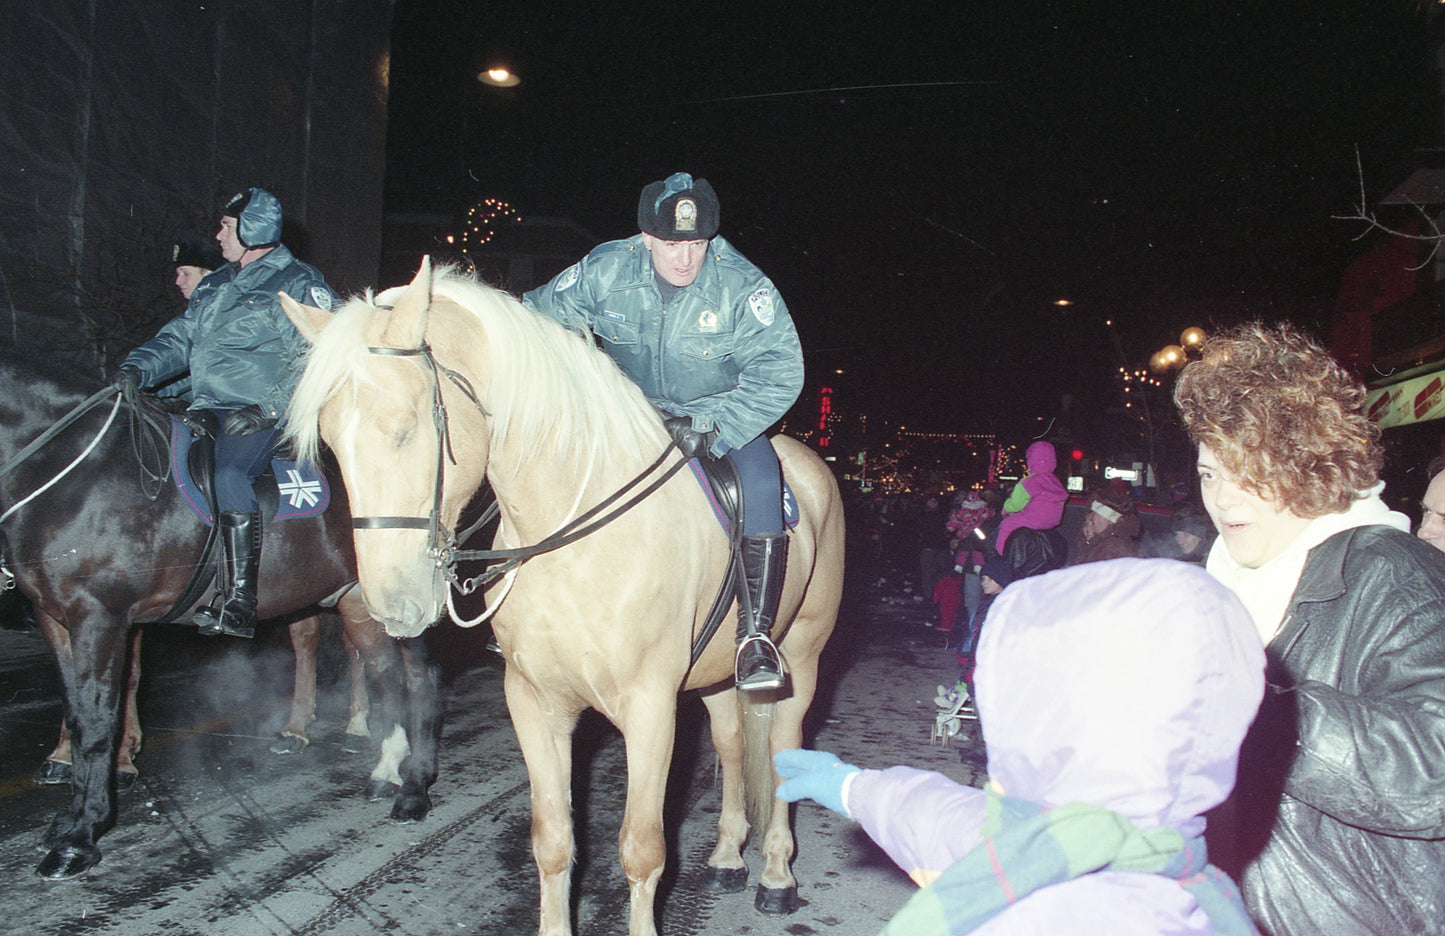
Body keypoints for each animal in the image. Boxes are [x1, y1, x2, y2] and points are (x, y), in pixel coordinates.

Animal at [0, 351, 439, 878]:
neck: (76, 475)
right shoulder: (56, 620)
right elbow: (77, 709)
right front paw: (70, 816)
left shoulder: (100, 617)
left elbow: (96, 720)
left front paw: (81, 835)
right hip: (355, 598)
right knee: (381, 669)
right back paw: (384, 765)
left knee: (418, 677)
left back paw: (414, 788)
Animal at [283, 260, 843, 936]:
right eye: (330, 442)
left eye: (406, 427)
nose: (394, 603)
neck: (571, 535)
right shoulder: (535, 702)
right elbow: (552, 840)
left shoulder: (650, 710)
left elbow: (642, 850)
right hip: (713, 676)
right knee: (734, 743)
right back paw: (729, 855)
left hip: (803, 659)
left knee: (784, 749)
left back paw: (777, 877)